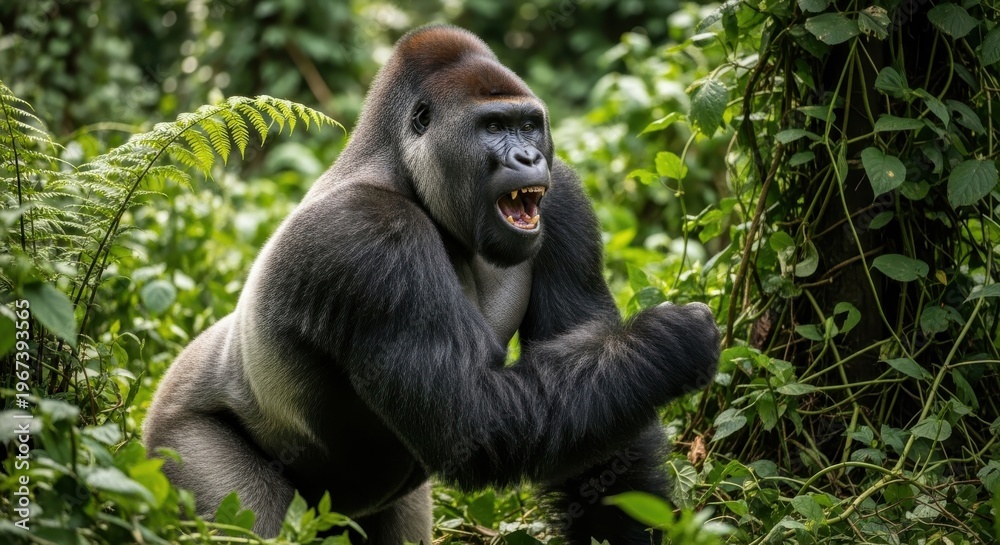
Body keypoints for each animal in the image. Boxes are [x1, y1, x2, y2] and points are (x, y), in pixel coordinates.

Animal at [143, 24, 720, 544]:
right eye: (493, 127)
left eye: (529, 126)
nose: (529, 158)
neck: (400, 169)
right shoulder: (370, 235)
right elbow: (476, 422)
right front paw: (670, 343)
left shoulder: (564, 198)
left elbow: (604, 443)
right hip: (175, 443)